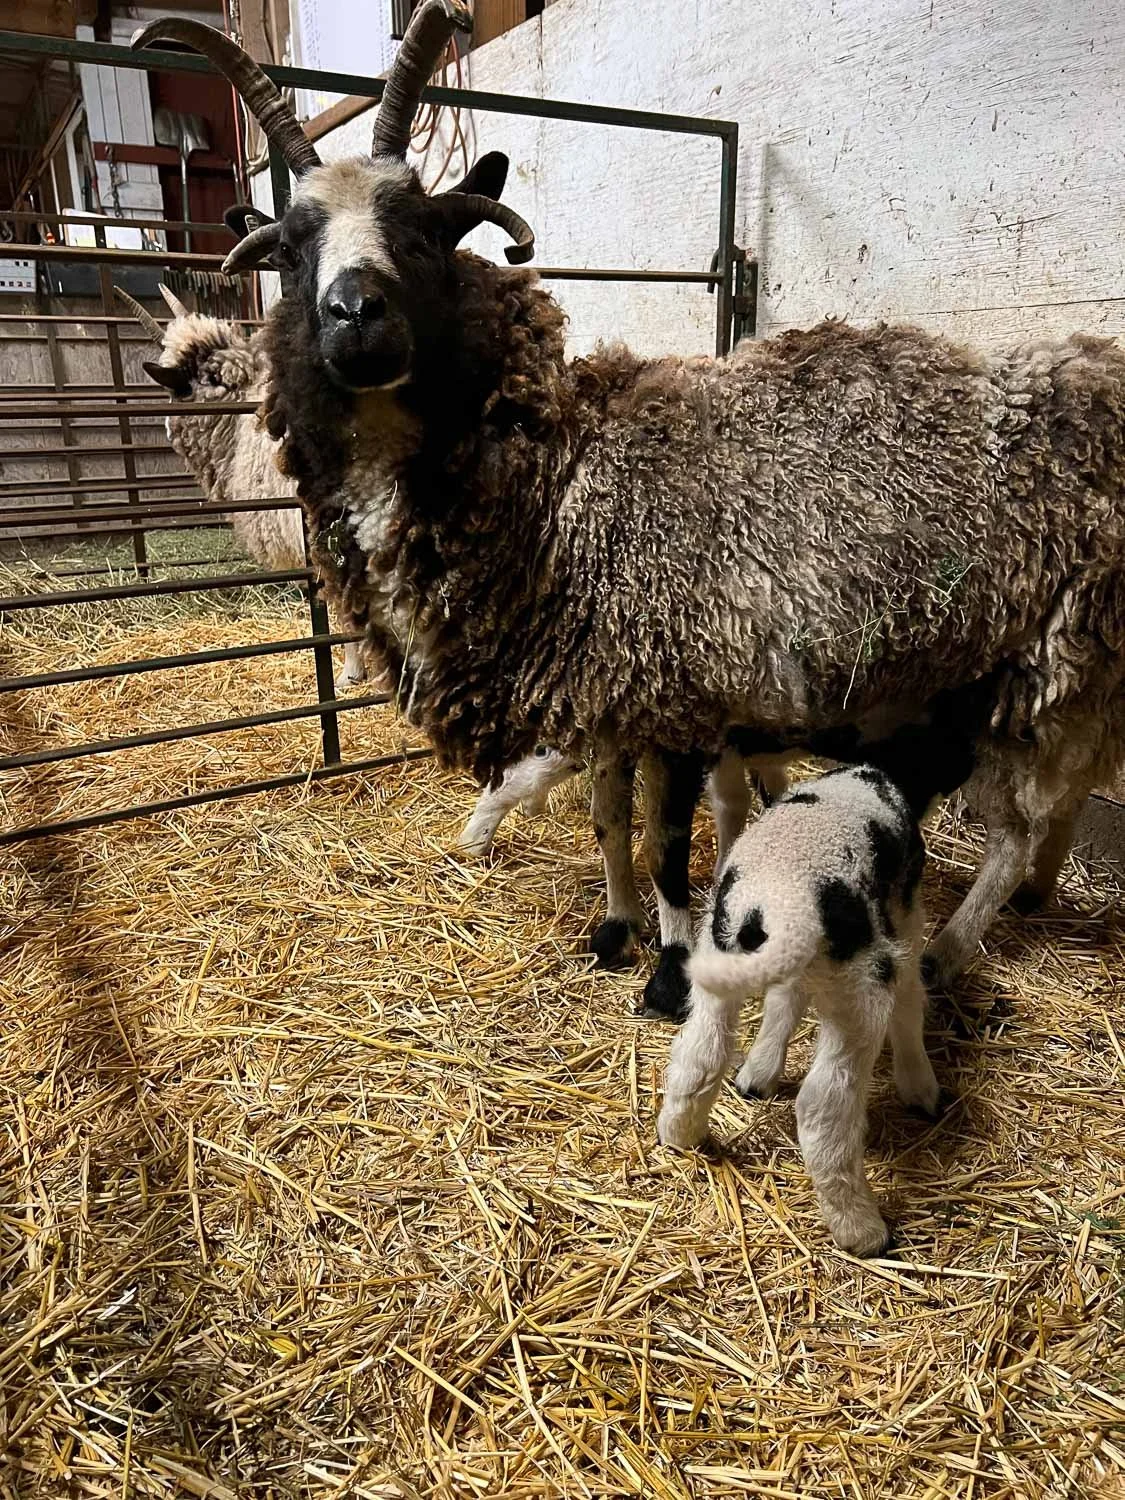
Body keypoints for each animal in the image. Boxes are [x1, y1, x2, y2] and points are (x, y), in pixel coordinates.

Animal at [138, 4, 1125, 1017]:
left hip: (1058, 652)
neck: (559, 482)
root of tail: (1091, 368)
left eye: (421, 233)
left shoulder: (676, 693)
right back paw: (1038, 895)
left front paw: (669, 965)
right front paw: (613, 928)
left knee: (1020, 822)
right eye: (292, 249)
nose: (354, 316)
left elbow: (665, 848)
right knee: (1066, 796)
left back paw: (952, 947)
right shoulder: (604, 693)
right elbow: (611, 823)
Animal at [656, 714, 980, 1256]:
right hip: (862, 990)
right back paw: (862, 1229)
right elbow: (911, 1005)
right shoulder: (904, 923)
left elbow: (784, 1003)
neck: (884, 772)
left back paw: (679, 1133)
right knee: (823, 1109)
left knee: (700, 1055)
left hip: (720, 962)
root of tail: (781, 903)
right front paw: (920, 1086)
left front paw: (760, 1072)